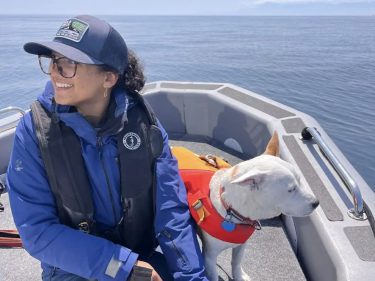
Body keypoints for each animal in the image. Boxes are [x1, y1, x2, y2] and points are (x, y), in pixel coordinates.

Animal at [178, 132, 318, 280]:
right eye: (291, 189)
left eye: (301, 180)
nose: (316, 203)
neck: (232, 212)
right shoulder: (209, 256)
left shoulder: (241, 244)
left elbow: (236, 261)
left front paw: (239, 276)